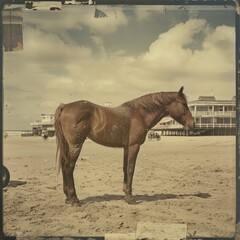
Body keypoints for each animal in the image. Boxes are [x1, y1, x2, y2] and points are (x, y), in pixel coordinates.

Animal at [54, 86, 195, 204]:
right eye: (183, 104)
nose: (192, 124)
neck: (139, 114)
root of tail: (65, 106)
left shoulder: (126, 148)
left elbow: (125, 169)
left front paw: (126, 194)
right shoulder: (134, 146)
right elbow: (131, 169)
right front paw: (130, 198)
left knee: (64, 165)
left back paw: (68, 197)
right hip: (76, 145)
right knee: (69, 167)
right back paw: (74, 199)